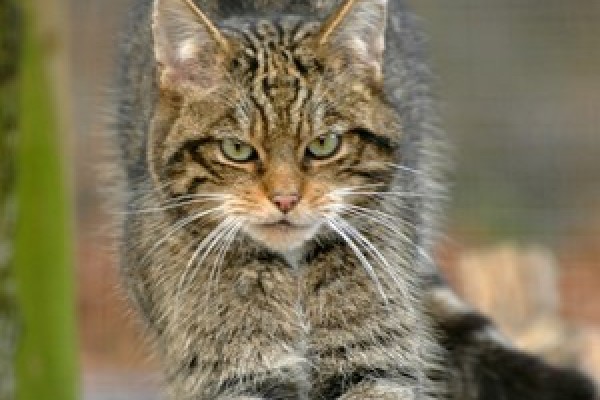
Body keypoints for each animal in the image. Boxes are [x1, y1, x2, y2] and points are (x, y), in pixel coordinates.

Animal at [115, 0, 596, 398]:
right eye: (237, 150)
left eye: (324, 144)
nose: (286, 199)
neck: (292, 275)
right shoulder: (236, 373)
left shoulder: (372, 362)